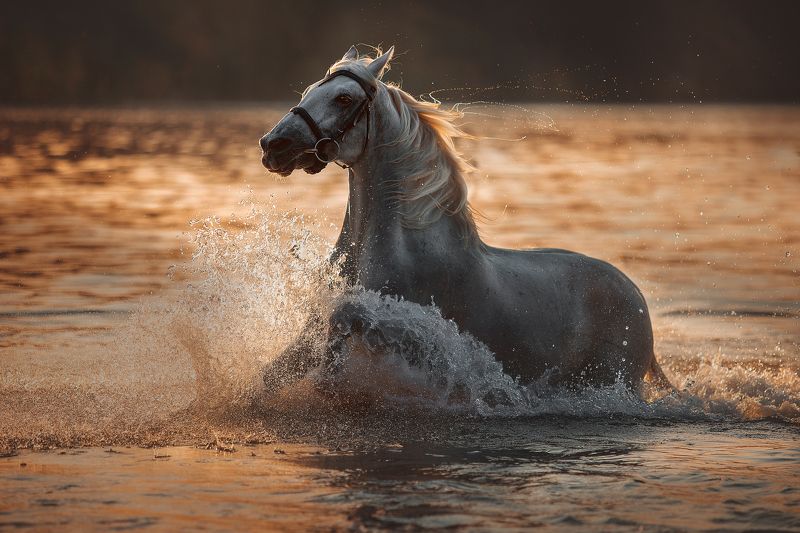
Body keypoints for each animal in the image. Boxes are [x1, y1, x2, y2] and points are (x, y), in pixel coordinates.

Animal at [259, 45, 670, 395]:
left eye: (343, 98)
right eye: (310, 90)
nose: (272, 145)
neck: (403, 248)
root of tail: (635, 295)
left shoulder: (403, 330)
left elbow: (347, 314)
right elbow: (276, 371)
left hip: (610, 380)